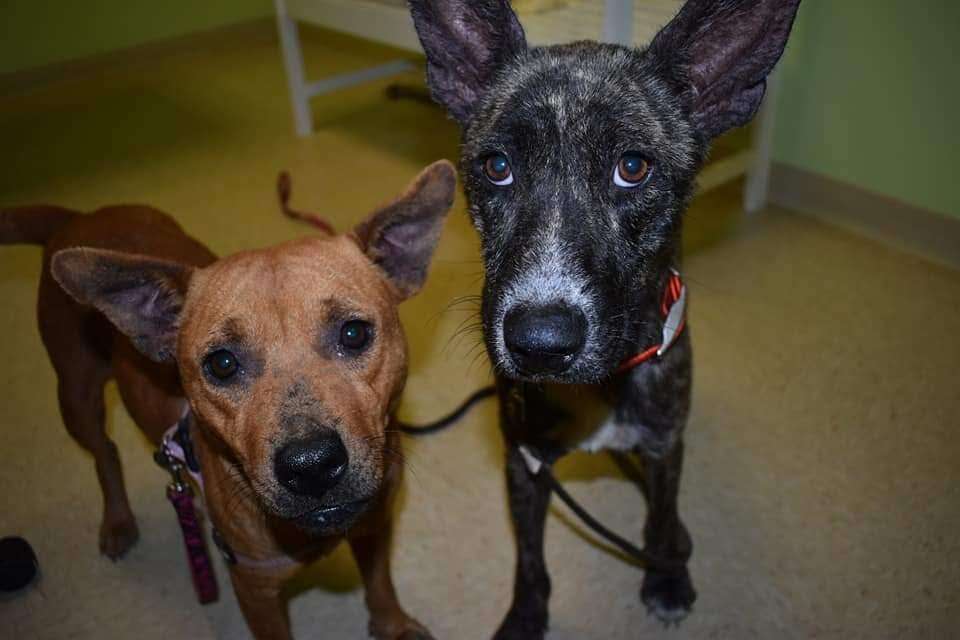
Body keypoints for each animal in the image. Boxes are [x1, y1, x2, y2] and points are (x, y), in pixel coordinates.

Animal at [0, 159, 458, 636]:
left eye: (353, 334)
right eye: (221, 364)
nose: (311, 467)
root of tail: (78, 218)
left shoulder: (374, 524)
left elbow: (379, 581)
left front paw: (392, 623)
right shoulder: (255, 591)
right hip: (75, 398)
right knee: (104, 450)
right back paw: (118, 519)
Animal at [404, 2, 804, 636]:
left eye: (633, 167)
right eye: (497, 166)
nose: (540, 343)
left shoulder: (665, 444)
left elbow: (660, 520)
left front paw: (666, 577)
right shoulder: (523, 464)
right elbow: (529, 557)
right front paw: (526, 614)